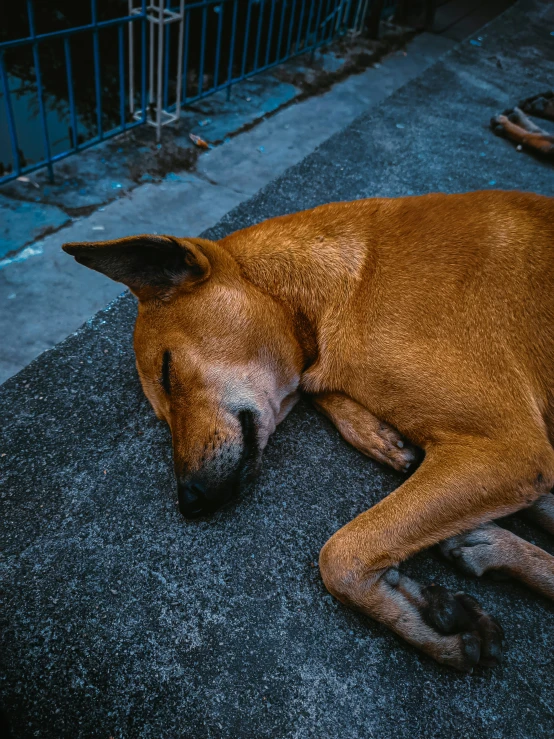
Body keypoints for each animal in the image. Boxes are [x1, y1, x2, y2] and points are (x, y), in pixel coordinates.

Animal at [62, 189, 552, 672]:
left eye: (166, 372)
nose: (190, 501)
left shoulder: (508, 449)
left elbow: (339, 556)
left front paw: (429, 626)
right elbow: (318, 391)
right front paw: (375, 432)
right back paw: (485, 543)